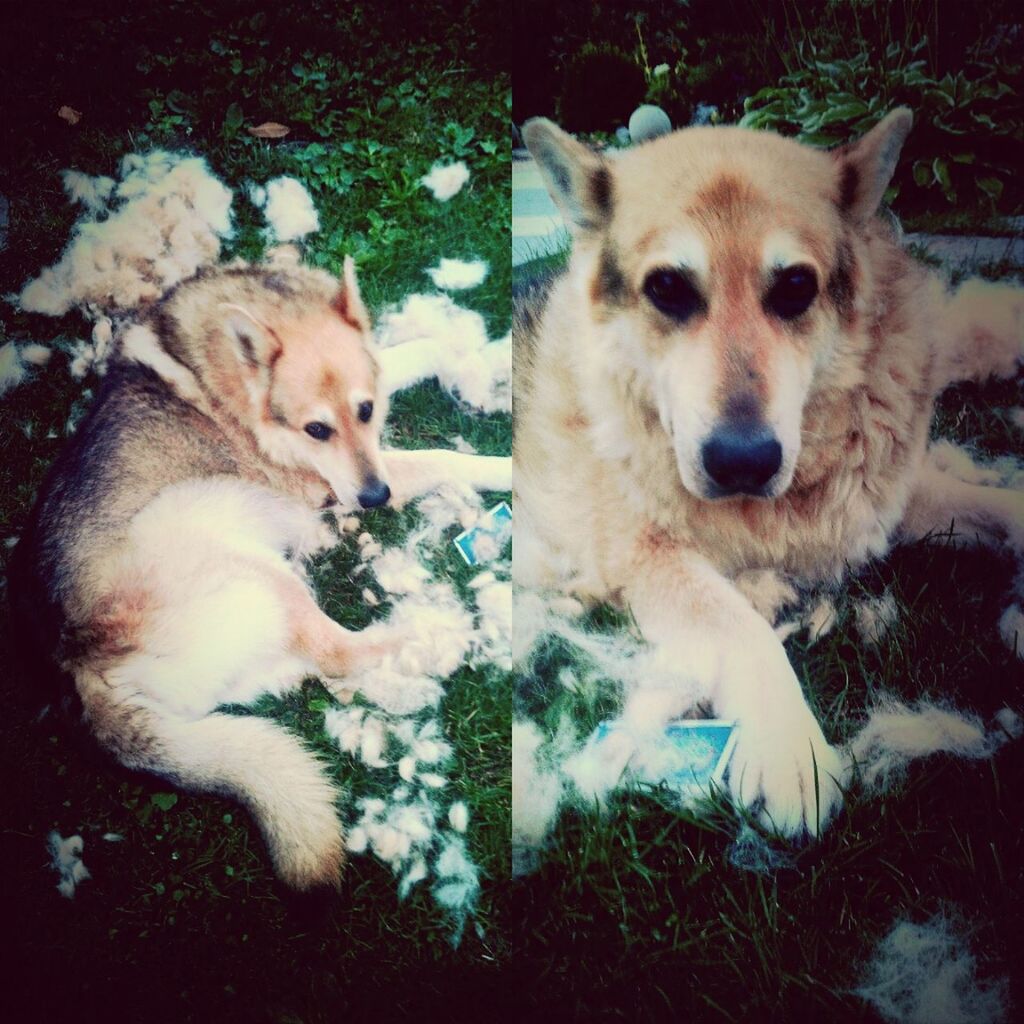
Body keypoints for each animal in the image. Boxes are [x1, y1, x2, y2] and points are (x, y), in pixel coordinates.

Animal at [9, 260, 512, 892]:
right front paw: (516, 466)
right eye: (316, 430)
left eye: (366, 411)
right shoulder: (344, 481)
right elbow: (448, 459)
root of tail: (77, 673)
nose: (375, 500)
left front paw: (481, 362)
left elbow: (416, 348)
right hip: (233, 552)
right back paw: (436, 636)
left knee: (315, 667)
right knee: (338, 653)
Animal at [516, 105, 1024, 839]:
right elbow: (744, 626)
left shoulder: (882, 500)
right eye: (666, 288)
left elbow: (1001, 506)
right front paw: (791, 750)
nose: (743, 463)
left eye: (795, 288)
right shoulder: (650, 557)